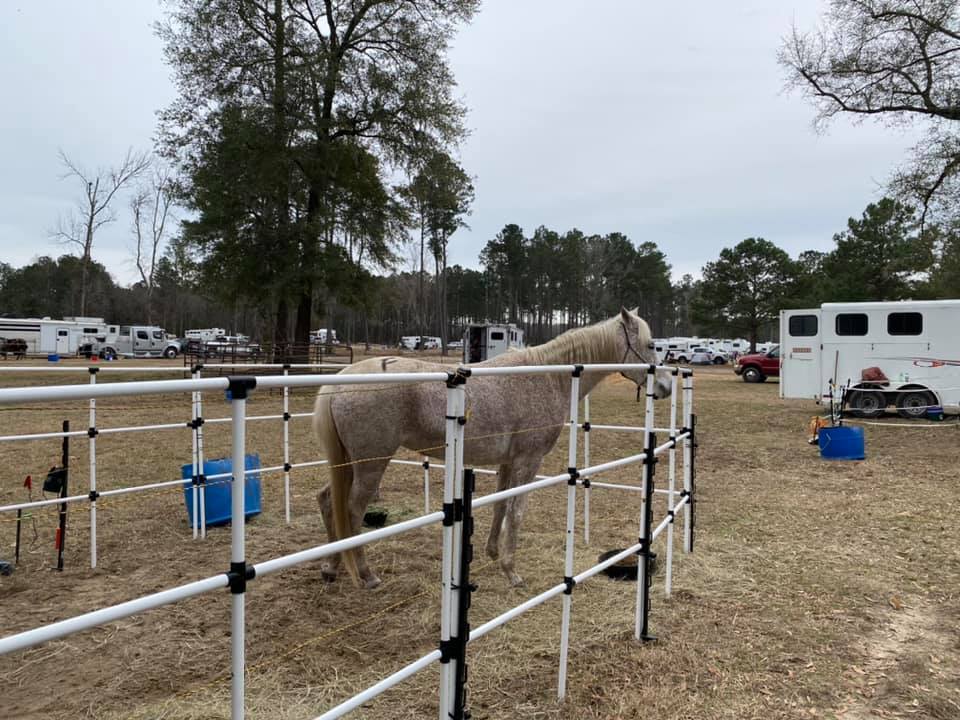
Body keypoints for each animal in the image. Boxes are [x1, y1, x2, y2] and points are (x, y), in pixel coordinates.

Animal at [313, 307, 671, 588]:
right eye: (650, 344)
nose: (666, 385)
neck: (548, 376)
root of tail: (344, 378)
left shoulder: (507, 462)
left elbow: (500, 506)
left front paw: (492, 553)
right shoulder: (528, 461)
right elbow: (516, 511)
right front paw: (511, 572)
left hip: (349, 463)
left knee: (329, 501)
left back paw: (332, 567)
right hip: (371, 462)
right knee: (352, 510)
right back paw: (365, 574)